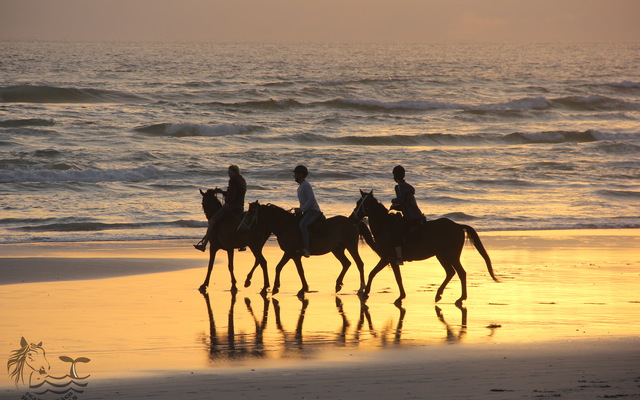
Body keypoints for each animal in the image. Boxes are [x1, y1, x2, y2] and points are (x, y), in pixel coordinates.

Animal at [352, 190, 498, 307]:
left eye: (360, 203)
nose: (353, 217)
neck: (385, 226)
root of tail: (458, 226)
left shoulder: (387, 258)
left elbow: (374, 273)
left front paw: (366, 293)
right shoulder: (391, 260)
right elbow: (396, 277)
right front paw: (400, 296)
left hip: (450, 255)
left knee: (460, 273)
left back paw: (460, 298)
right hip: (442, 255)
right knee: (451, 272)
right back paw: (439, 295)